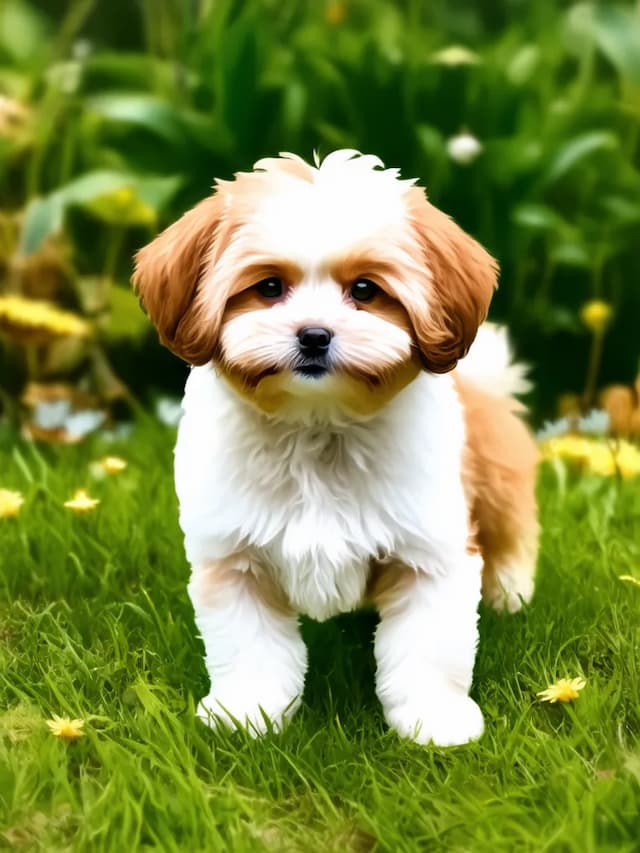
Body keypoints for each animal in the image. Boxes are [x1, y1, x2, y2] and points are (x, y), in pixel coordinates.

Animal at [134, 151, 540, 744]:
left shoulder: (430, 552)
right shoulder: (234, 560)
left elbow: (429, 645)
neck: (316, 426)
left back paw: (510, 595)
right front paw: (248, 713)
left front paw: (433, 720)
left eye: (366, 292)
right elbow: (250, 646)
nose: (314, 335)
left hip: (498, 485)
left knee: (510, 535)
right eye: (269, 287)